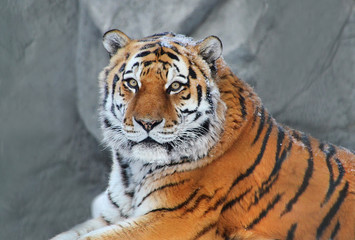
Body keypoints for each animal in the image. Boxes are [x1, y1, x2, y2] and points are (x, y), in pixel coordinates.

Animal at [50, 29, 355, 239]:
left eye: (174, 86)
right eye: (132, 83)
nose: (147, 123)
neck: (135, 170)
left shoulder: (172, 218)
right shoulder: (111, 214)